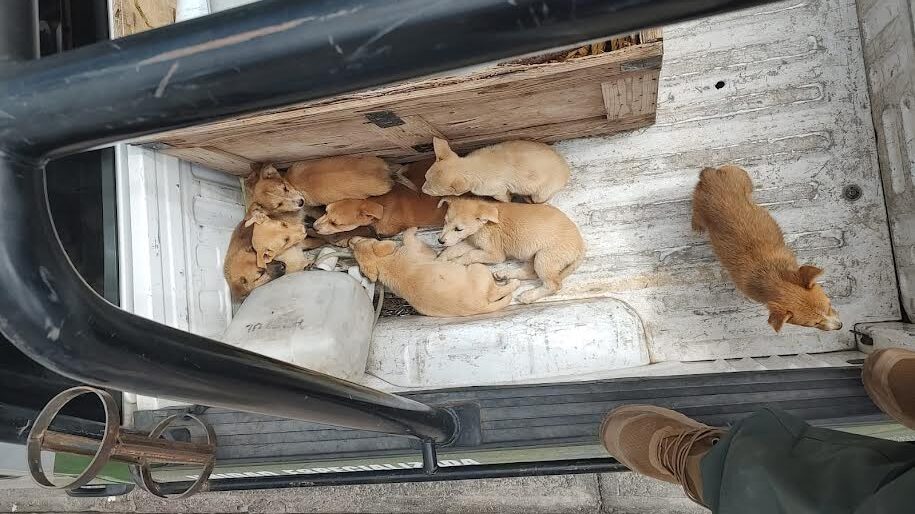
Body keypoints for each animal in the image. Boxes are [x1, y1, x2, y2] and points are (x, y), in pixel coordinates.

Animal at [349, 228, 520, 317]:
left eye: (359, 241)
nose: (350, 240)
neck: (384, 264)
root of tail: (480, 307)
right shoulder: (418, 250)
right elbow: (407, 237)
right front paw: (412, 229)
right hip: (479, 269)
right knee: (496, 291)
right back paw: (512, 282)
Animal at [422, 138, 570, 203]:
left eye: (435, 192)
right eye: (425, 178)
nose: (422, 190)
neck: (470, 166)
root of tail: (566, 168)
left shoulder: (498, 191)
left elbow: (504, 199)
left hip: (542, 193)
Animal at [436, 196, 585, 304]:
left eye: (458, 229)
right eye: (445, 222)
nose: (440, 241)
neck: (484, 225)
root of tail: (581, 245)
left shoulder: (495, 254)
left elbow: (470, 255)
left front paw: (456, 262)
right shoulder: (472, 242)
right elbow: (454, 249)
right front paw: (440, 259)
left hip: (544, 257)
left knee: (554, 284)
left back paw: (528, 296)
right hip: (533, 255)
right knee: (530, 273)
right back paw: (504, 274)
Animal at [691, 165, 842, 332]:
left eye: (829, 305)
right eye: (814, 324)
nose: (840, 326)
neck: (772, 276)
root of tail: (712, 177)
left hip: (741, 176)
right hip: (700, 207)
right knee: (696, 214)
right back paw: (696, 226)